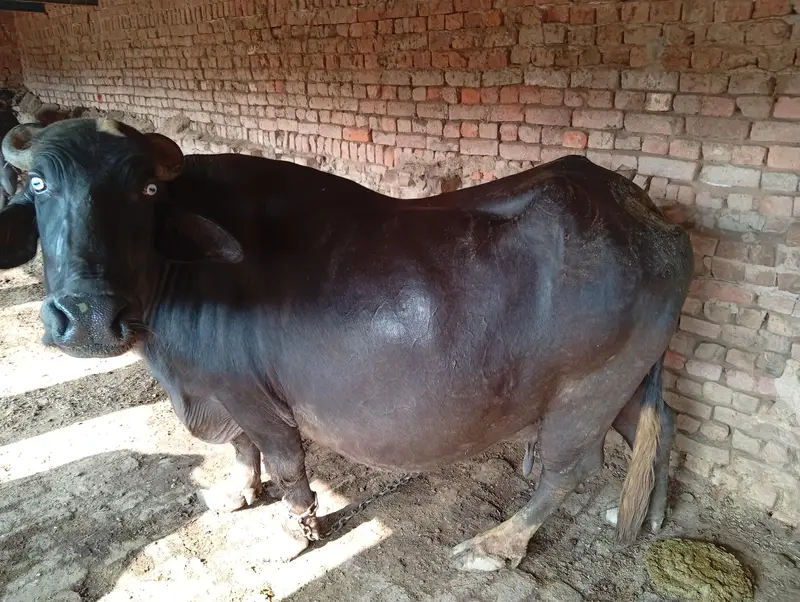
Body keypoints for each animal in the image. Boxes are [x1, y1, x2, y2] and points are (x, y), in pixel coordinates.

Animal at [0, 118, 693, 571]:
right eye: (37, 186)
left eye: (145, 191)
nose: (89, 317)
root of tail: (650, 218)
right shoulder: (220, 393)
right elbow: (242, 453)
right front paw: (237, 495)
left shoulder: (255, 399)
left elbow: (284, 462)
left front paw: (293, 532)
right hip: (625, 382)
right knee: (661, 427)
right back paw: (651, 518)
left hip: (586, 391)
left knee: (568, 470)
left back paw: (495, 546)